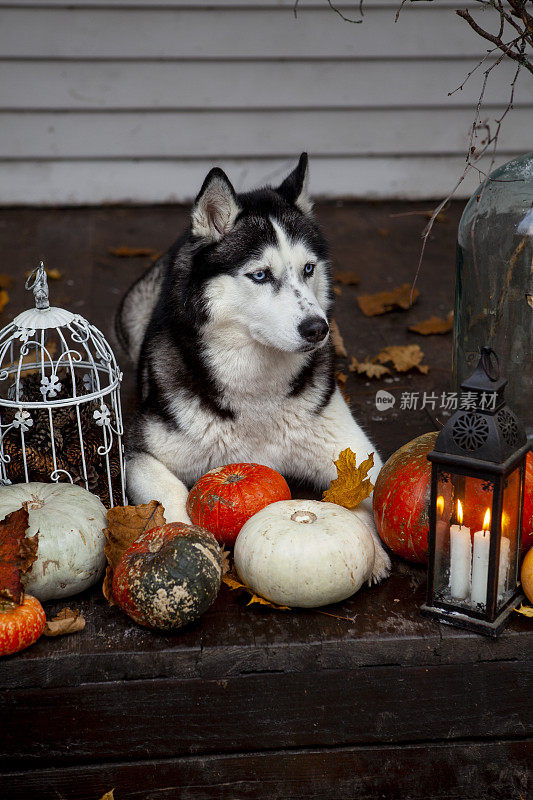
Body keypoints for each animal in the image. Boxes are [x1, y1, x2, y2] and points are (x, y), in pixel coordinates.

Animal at [117, 155, 390, 580]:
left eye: (308, 269)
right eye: (260, 275)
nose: (317, 328)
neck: (257, 389)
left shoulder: (351, 445)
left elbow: (364, 486)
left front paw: (371, 548)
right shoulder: (138, 453)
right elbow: (170, 493)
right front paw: (178, 543)